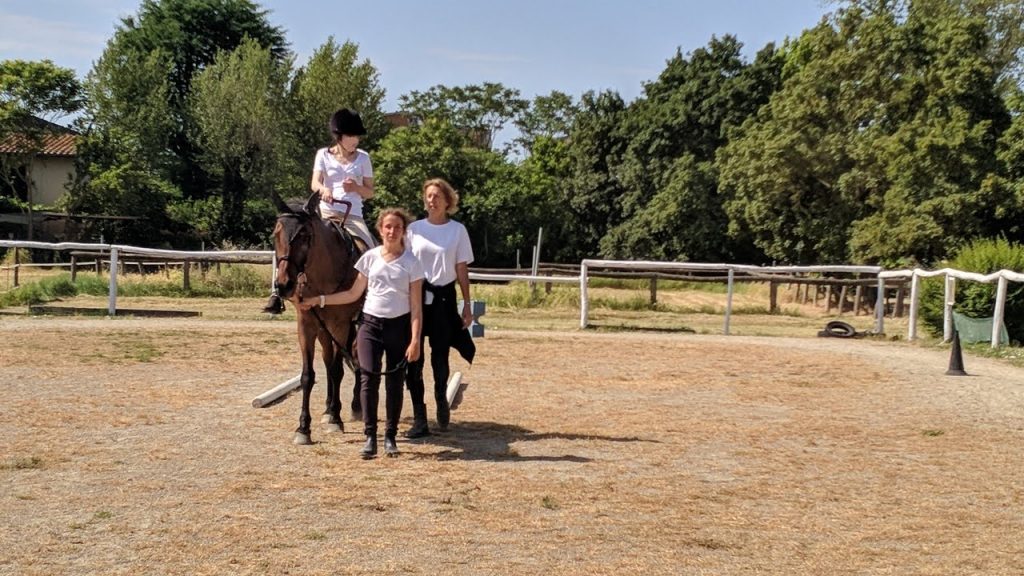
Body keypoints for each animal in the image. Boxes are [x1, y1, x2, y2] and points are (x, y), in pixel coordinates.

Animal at [270, 192, 366, 444]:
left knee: (353, 359)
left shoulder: (341, 325)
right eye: (276, 234)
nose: (284, 285)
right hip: (324, 331)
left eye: (304, 235)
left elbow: (338, 370)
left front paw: (337, 419)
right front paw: (304, 428)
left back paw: (353, 406)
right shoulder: (306, 325)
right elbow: (308, 376)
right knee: (330, 361)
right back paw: (328, 409)